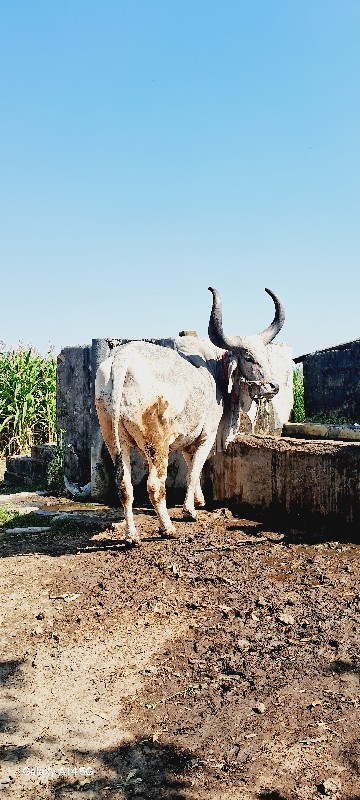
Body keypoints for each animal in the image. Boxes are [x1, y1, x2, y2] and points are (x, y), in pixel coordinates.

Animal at [95, 288, 284, 544]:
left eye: (266, 356)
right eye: (248, 357)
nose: (272, 386)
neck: (214, 373)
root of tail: (121, 360)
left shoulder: (187, 440)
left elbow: (191, 465)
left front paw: (199, 500)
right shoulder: (207, 436)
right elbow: (195, 472)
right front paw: (190, 511)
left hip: (115, 441)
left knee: (124, 486)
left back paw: (132, 535)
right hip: (157, 445)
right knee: (155, 486)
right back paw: (167, 528)